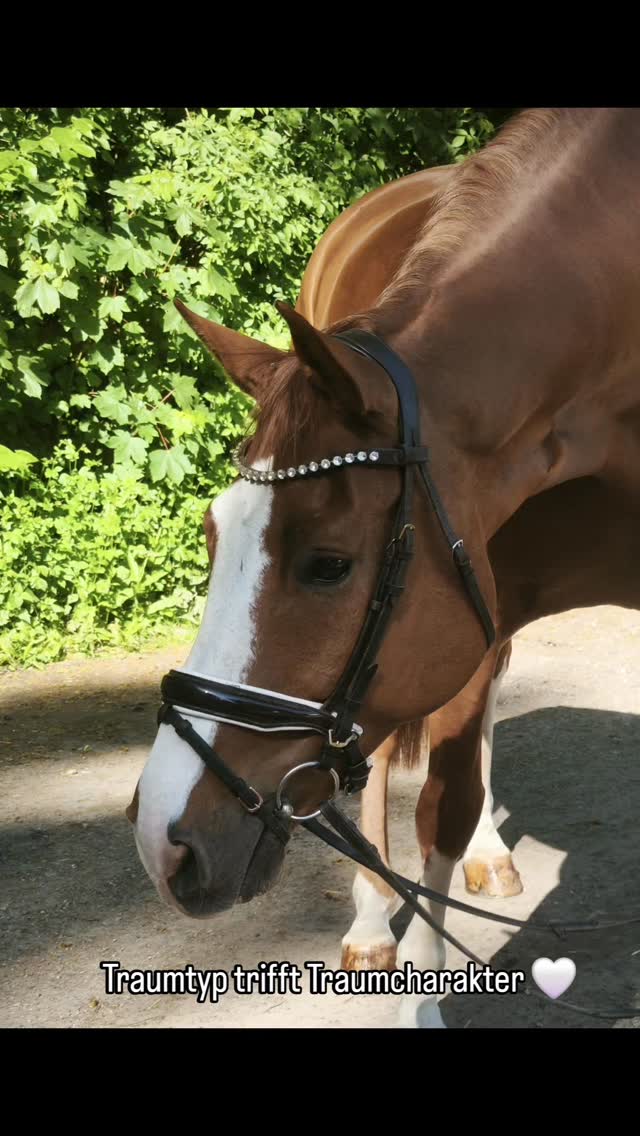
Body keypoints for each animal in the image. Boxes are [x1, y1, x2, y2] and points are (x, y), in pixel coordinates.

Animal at [126, 108, 640, 1029]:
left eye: (328, 565)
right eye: (214, 536)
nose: (162, 841)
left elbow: (450, 799)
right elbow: (435, 803)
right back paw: (372, 923)